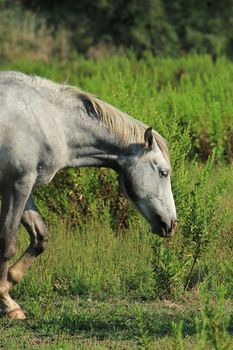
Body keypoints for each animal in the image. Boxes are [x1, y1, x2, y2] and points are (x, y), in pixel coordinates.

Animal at [0, 72, 177, 318]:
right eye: (163, 172)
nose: (172, 224)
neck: (50, 120)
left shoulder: (24, 186)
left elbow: (40, 237)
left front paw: (8, 288)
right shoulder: (17, 185)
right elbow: (7, 242)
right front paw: (6, 302)